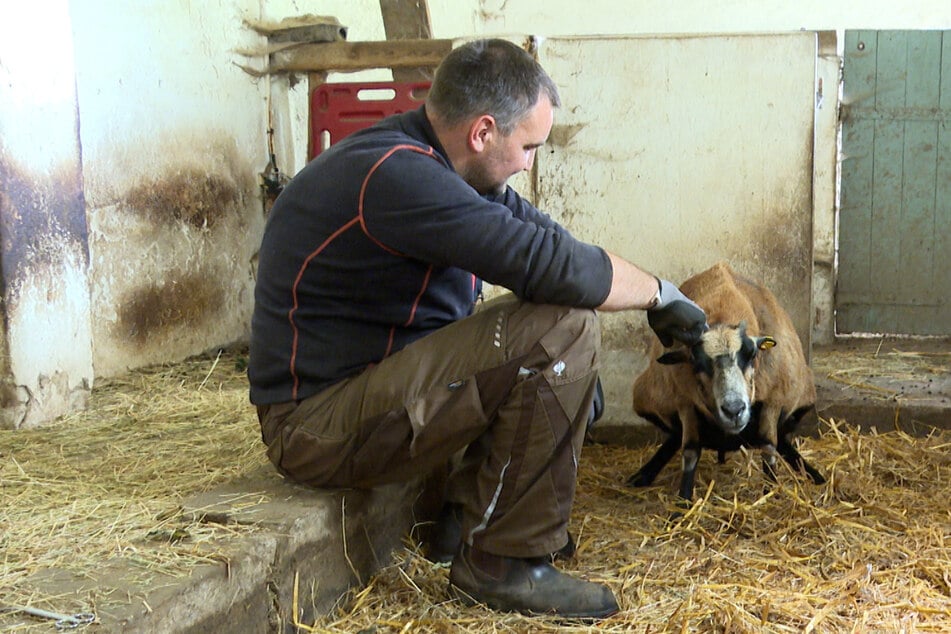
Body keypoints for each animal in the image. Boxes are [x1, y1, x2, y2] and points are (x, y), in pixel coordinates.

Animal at [627, 261, 825, 501]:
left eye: (752, 354)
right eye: (696, 362)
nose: (734, 410)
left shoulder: (775, 400)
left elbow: (769, 447)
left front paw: (770, 491)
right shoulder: (685, 403)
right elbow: (690, 450)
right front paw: (683, 500)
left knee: (779, 437)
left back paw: (813, 474)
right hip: (648, 399)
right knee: (675, 435)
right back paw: (642, 475)